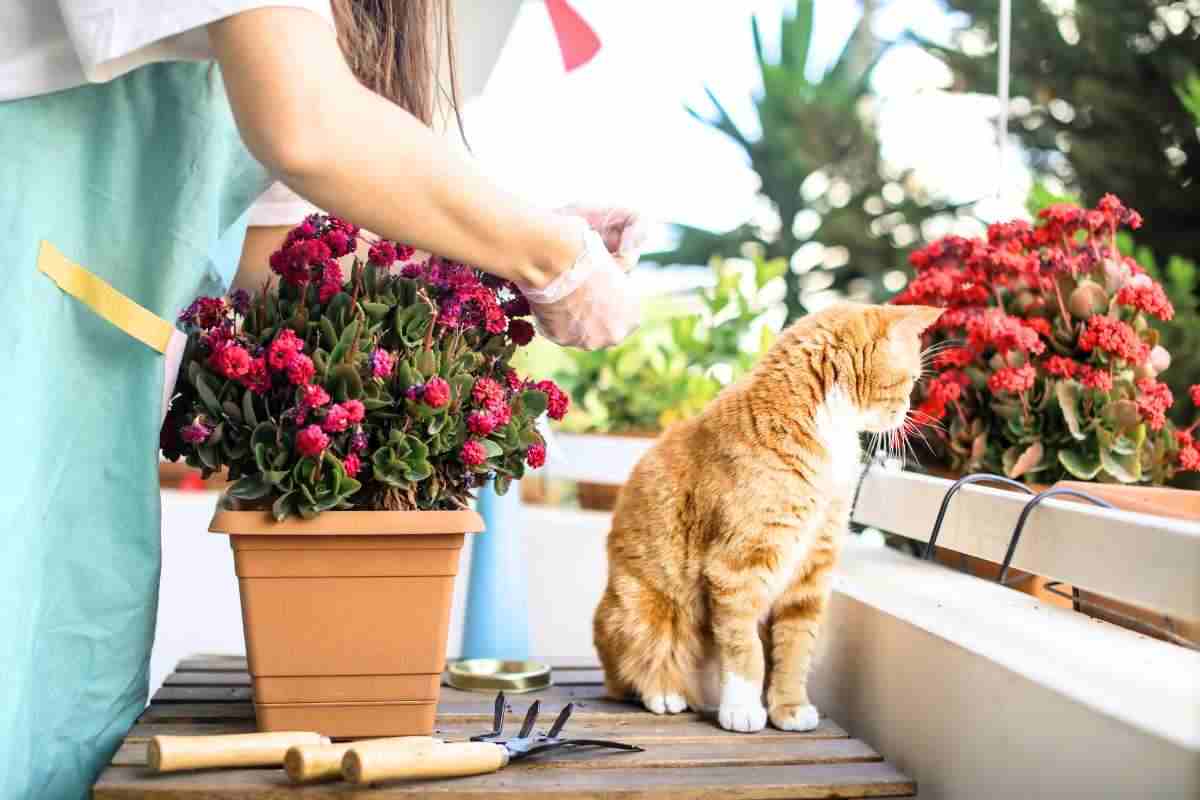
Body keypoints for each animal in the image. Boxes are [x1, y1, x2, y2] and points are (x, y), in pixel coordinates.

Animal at [595, 302, 940, 734]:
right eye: (910, 380)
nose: (908, 410)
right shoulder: (739, 566)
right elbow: (746, 649)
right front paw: (743, 707)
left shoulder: (811, 570)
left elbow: (794, 650)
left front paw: (789, 708)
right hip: (640, 608)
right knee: (636, 665)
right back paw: (666, 692)